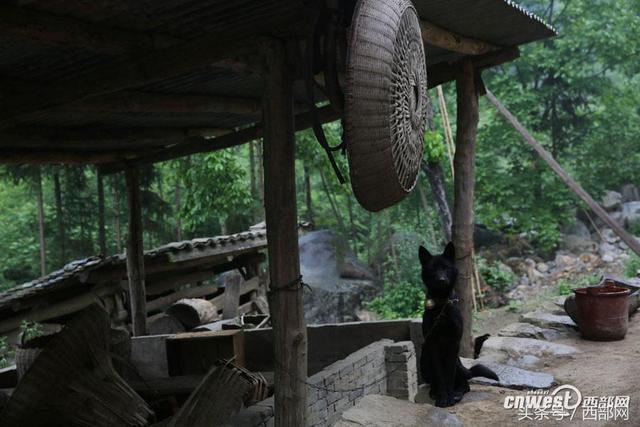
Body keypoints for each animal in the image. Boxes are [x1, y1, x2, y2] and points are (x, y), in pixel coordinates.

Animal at [420, 244, 500, 408]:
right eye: (433, 270)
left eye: (446, 268)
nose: (442, 280)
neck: (442, 306)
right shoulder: (432, 345)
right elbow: (440, 375)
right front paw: (442, 398)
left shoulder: (454, 344)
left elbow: (449, 375)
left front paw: (449, 397)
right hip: (424, 358)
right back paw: (434, 391)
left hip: (456, 363)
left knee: (465, 383)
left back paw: (457, 393)